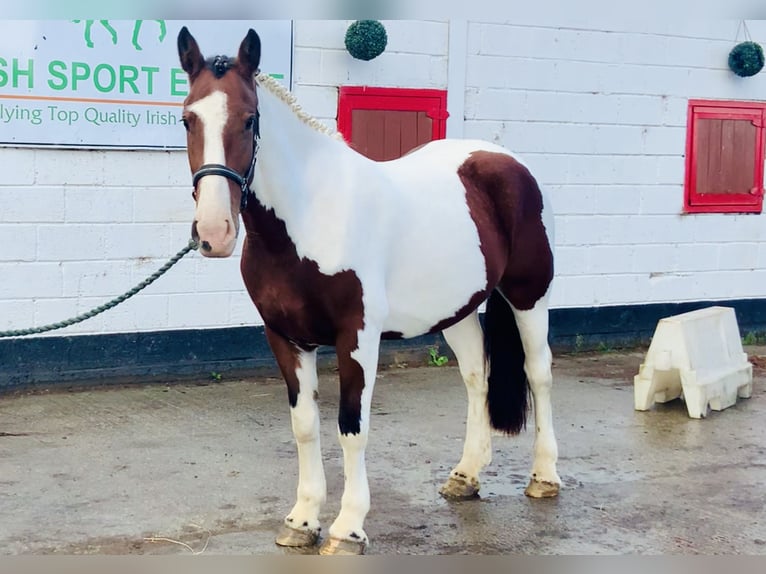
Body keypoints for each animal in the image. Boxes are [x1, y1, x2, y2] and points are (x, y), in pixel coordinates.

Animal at [178, 28, 564, 560]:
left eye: (250, 118)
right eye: (187, 118)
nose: (214, 233)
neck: (312, 215)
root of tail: (504, 161)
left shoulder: (356, 337)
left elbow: (351, 427)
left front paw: (348, 528)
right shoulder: (284, 337)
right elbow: (305, 426)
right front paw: (302, 520)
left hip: (529, 294)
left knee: (539, 373)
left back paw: (544, 476)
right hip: (458, 309)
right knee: (475, 377)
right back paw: (466, 475)